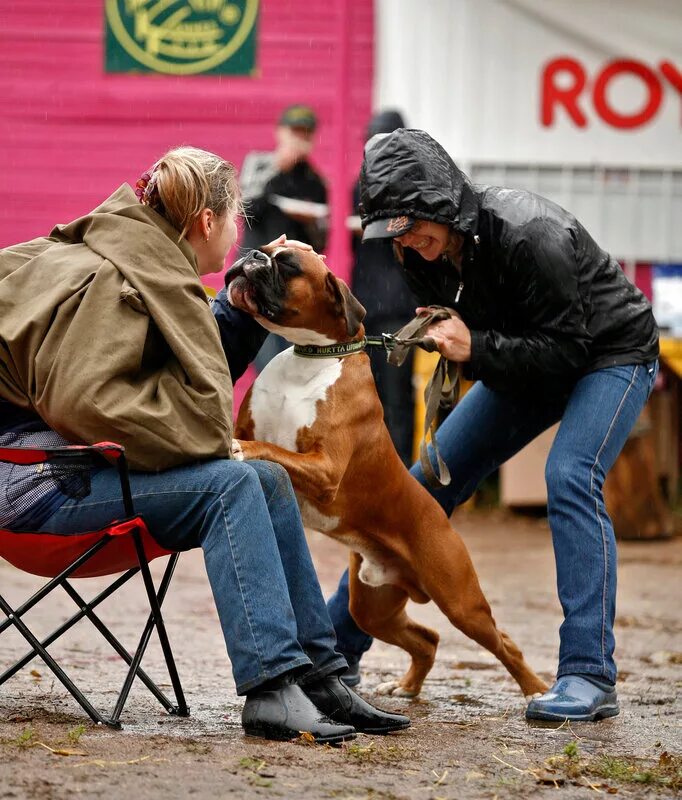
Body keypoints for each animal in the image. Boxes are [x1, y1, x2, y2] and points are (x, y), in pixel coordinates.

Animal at [228, 245, 548, 700]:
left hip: (461, 602)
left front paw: (241, 451)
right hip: (370, 607)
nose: (254, 253)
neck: (309, 358)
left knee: (504, 644)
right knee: (427, 639)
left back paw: (537, 691)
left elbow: (271, 449)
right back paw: (407, 686)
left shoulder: (325, 470)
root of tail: (442, 518)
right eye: (270, 251)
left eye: (287, 265)